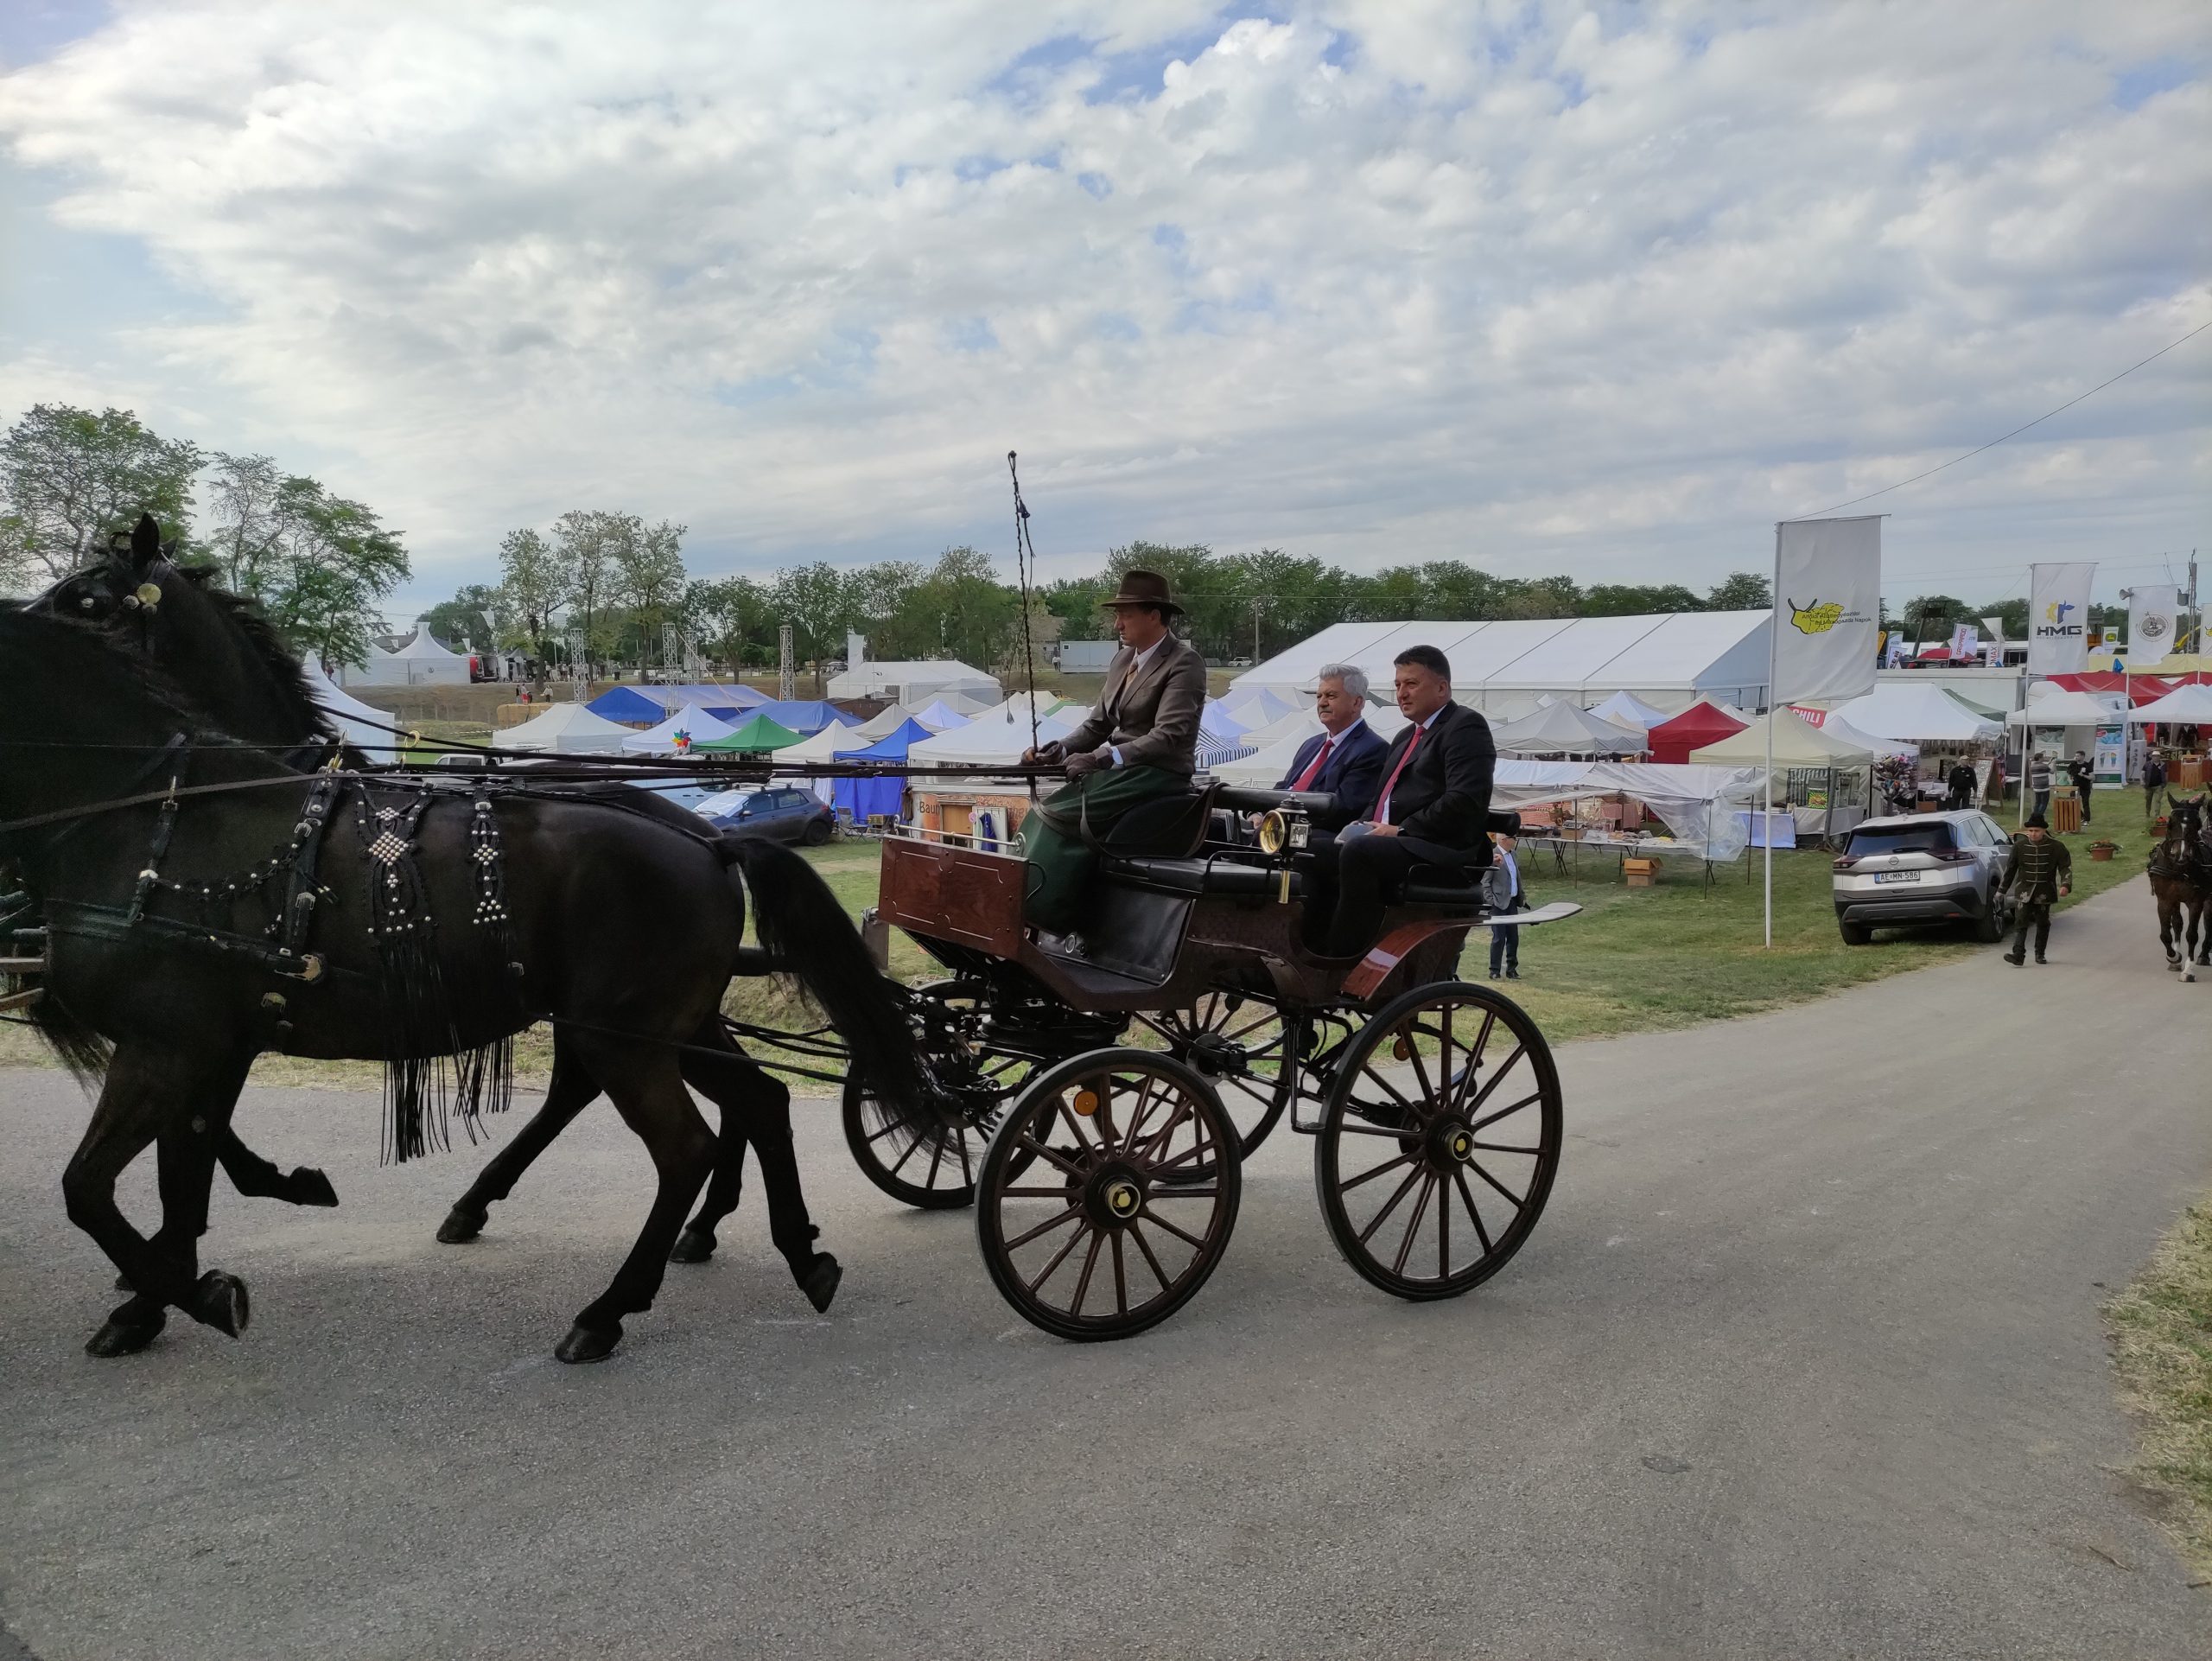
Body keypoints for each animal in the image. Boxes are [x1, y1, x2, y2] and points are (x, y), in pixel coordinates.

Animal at [0, 610, 915, 1362]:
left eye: (93, 595)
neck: (173, 817)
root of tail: (710, 841)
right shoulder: (209, 1047)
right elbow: (181, 1173)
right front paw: (163, 1287)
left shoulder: (168, 1045)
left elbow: (94, 1187)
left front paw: (186, 1288)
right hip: (664, 1027)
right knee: (756, 1101)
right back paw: (795, 1251)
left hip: (624, 1036)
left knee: (684, 1145)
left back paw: (607, 1308)